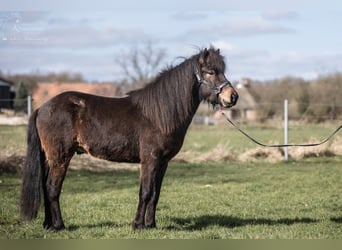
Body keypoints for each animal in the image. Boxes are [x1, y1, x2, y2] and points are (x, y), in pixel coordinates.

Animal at [18, 47, 238, 230]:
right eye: (211, 71)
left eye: (222, 70)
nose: (233, 97)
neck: (158, 114)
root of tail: (42, 107)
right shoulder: (150, 160)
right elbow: (146, 192)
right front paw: (138, 225)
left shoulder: (163, 162)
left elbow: (155, 194)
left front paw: (151, 225)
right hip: (60, 157)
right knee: (52, 189)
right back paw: (59, 226)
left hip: (49, 158)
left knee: (45, 187)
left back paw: (48, 224)